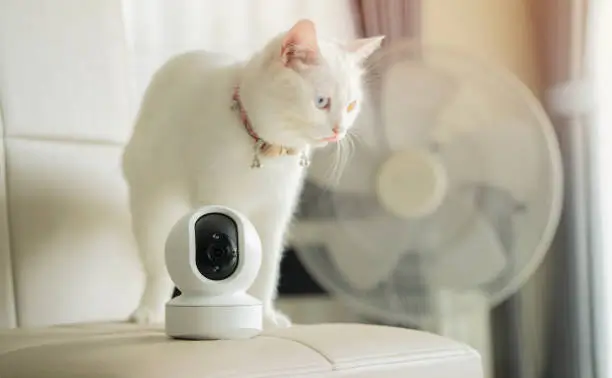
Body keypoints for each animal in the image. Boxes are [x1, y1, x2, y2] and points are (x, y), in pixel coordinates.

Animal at [120, 19, 382, 330]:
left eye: (352, 105)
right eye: (321, 101)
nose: (339, 131)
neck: (265, 151)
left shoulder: (274, 216)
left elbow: (266, 271)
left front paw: (266, 317)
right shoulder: (220, 204)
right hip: (153, 205)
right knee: (158, 266)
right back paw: (148, 311)